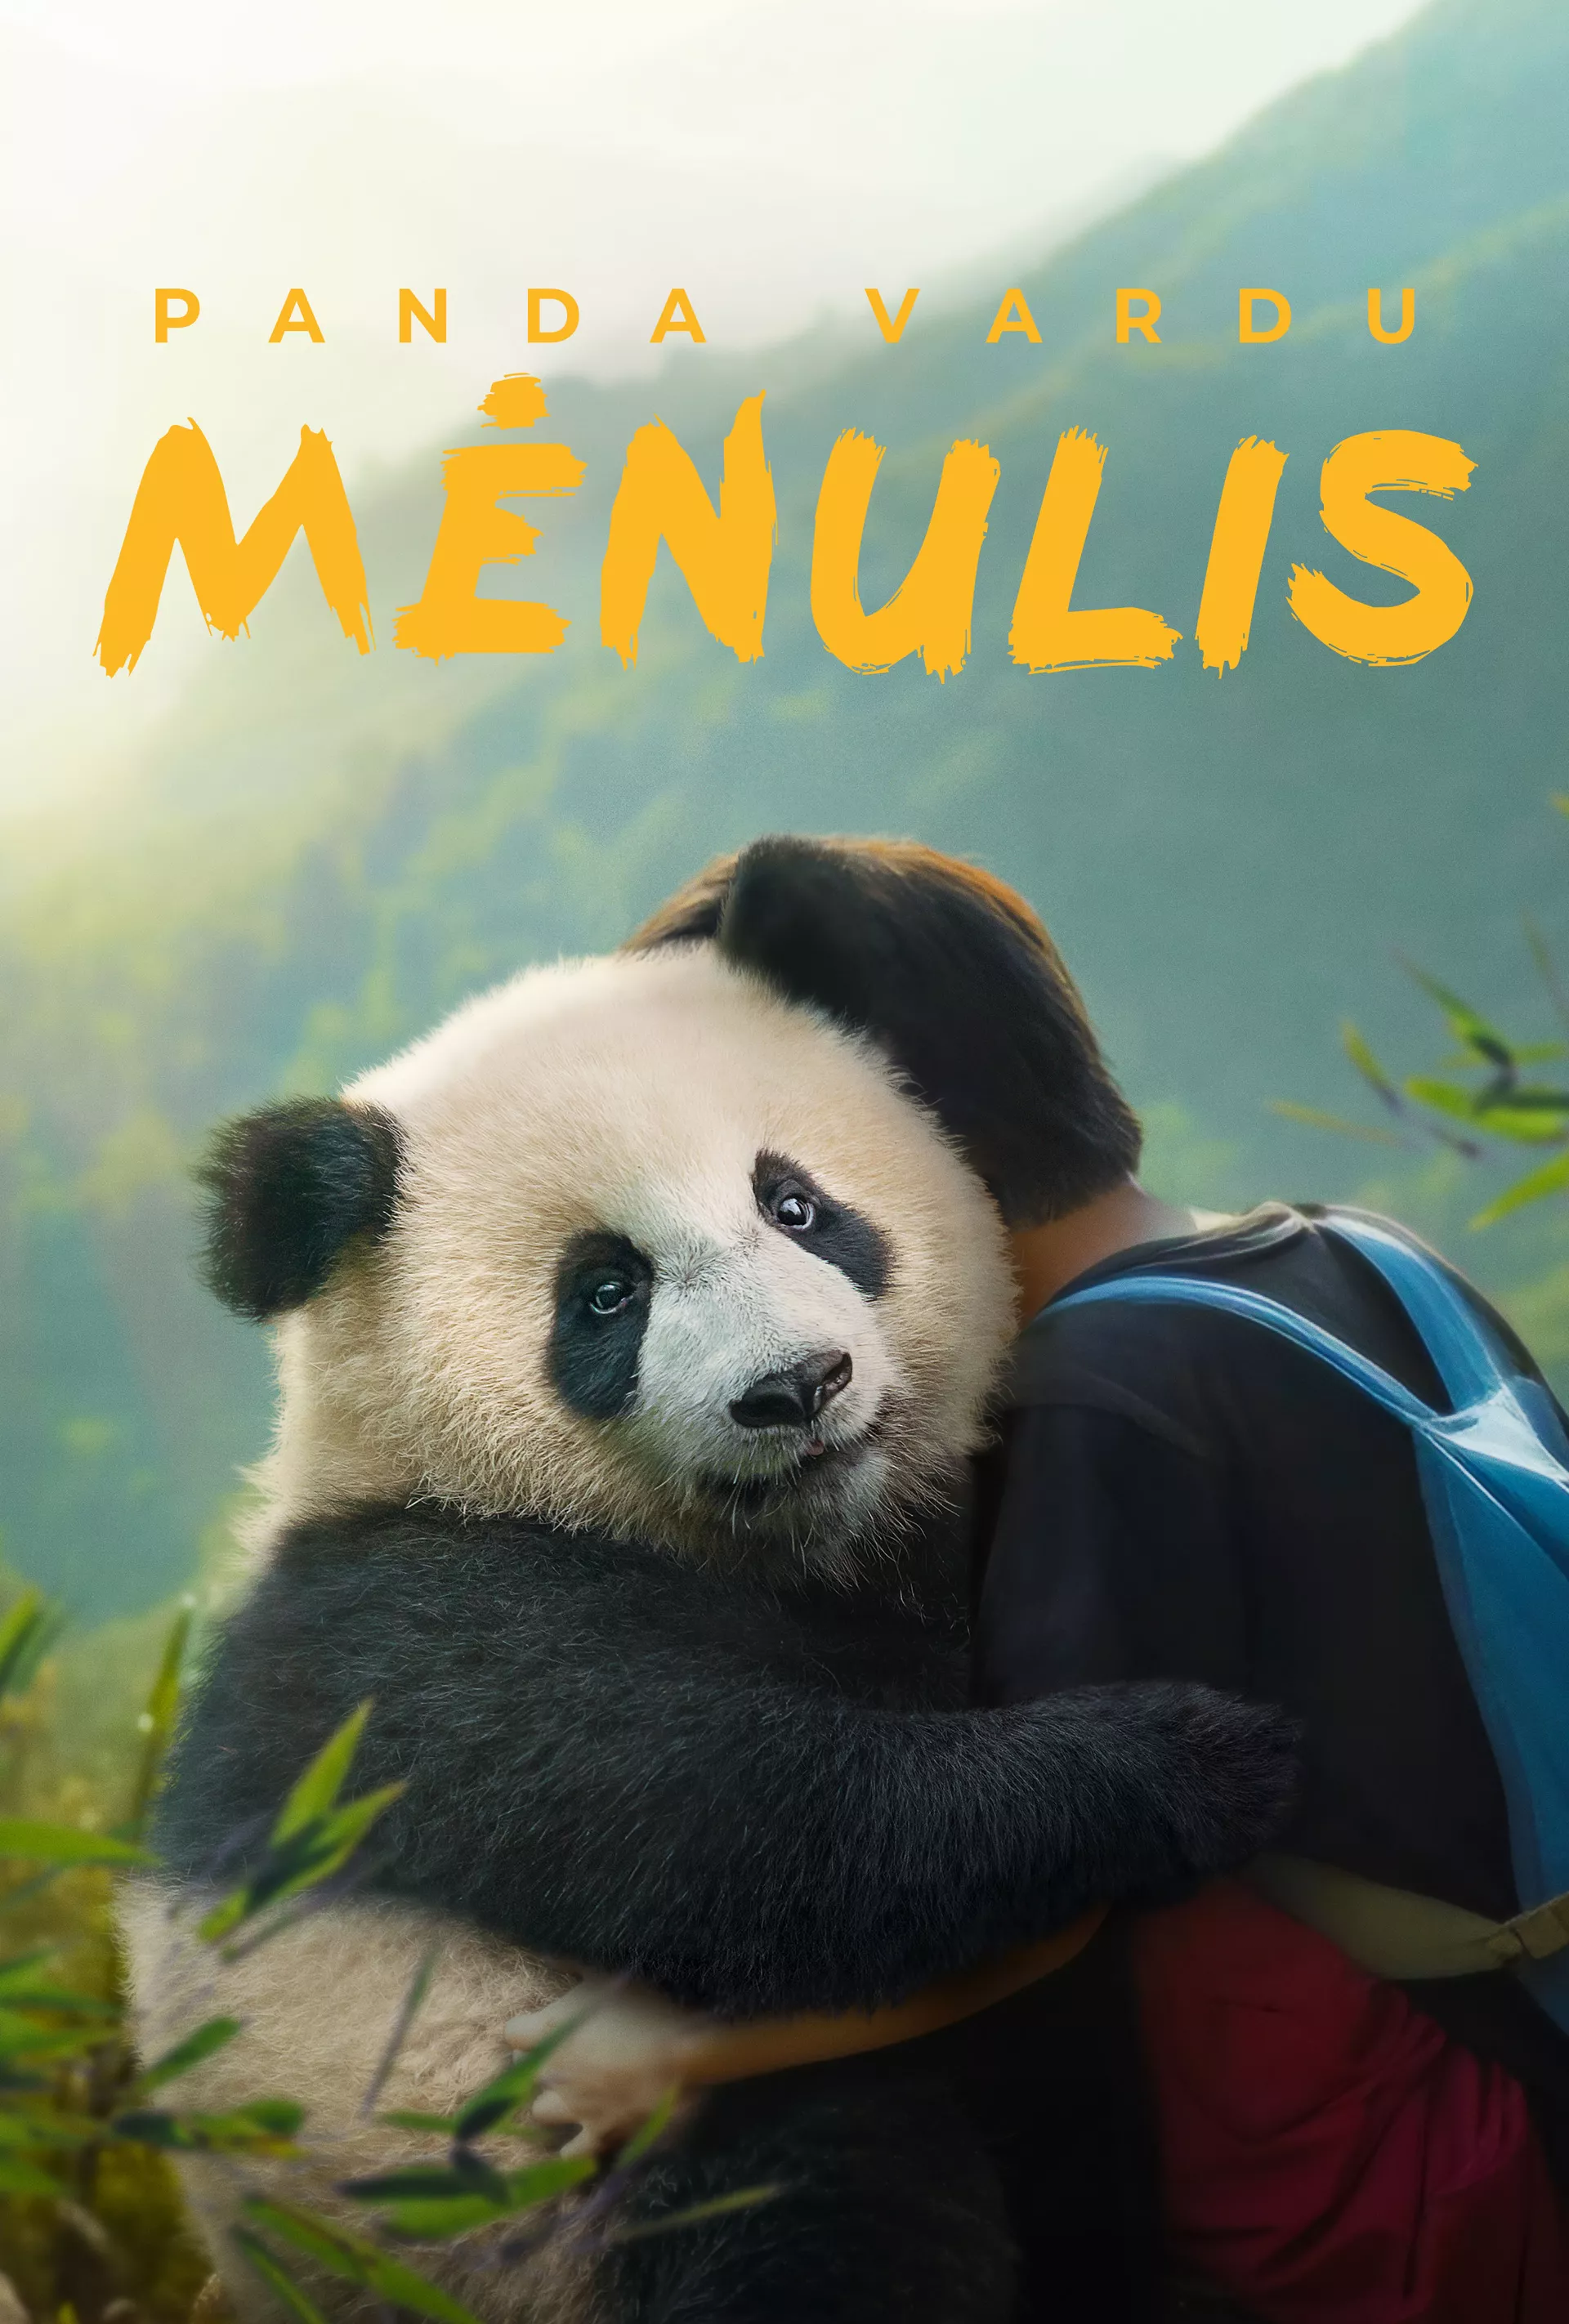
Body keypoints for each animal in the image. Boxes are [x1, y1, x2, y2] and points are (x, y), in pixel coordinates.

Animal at [125, 837, 1294, 2324]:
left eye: (794, 1202)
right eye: (604, 1293)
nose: (798, 1386)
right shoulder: (416, 1635)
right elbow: (755, 1828)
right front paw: (1194, 1758)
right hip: (518, 2203)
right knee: (832, 2196)